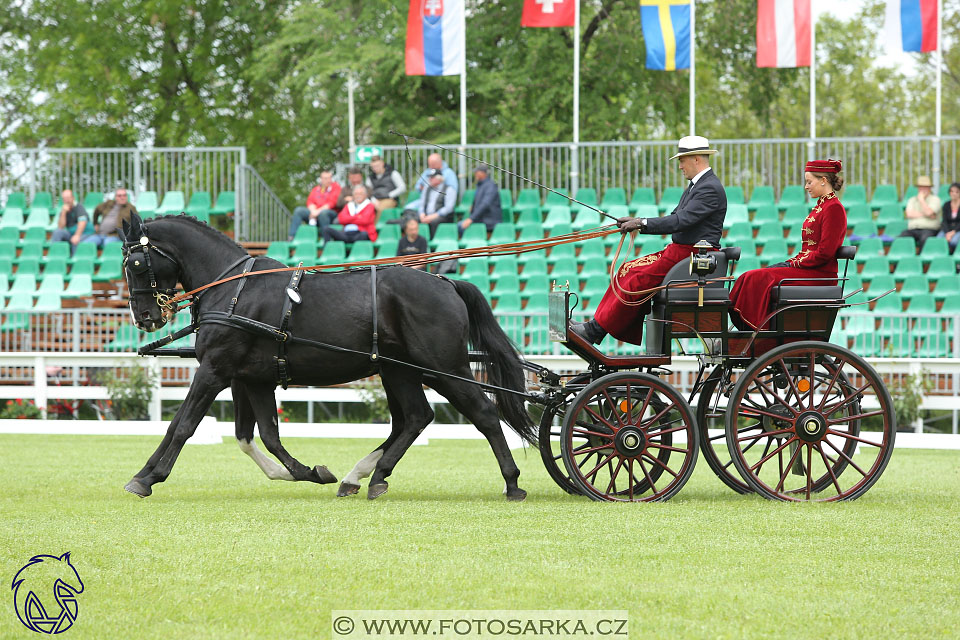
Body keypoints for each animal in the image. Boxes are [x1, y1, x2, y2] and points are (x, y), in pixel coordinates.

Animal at [119, 215, 536, 500]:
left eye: (135, 263)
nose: (145, 317)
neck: (234, 290)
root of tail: (445, 281)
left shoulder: (214, 369)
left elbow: (183, 425)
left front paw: (147, 477)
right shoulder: (251, 377)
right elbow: (260, 435)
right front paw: (307, 472)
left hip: (444, 367)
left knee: (482, 413)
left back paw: (512, 482)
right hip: (401, 370)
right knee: (415, 418)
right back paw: (369, 477)